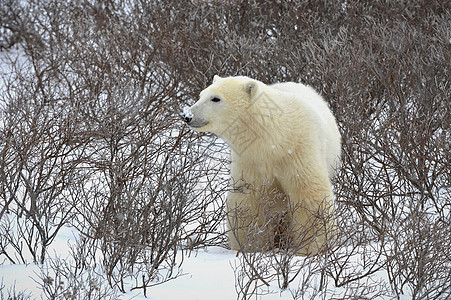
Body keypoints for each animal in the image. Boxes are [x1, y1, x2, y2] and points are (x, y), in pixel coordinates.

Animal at [182, 75, 340, 255]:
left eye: (215, 98)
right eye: (201, 95)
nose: (187, 115)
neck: (275, 136)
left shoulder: (299, 150)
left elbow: (308, 193)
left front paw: (311, 247)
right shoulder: (251, 160)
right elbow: (249, 199)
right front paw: (251, 247)